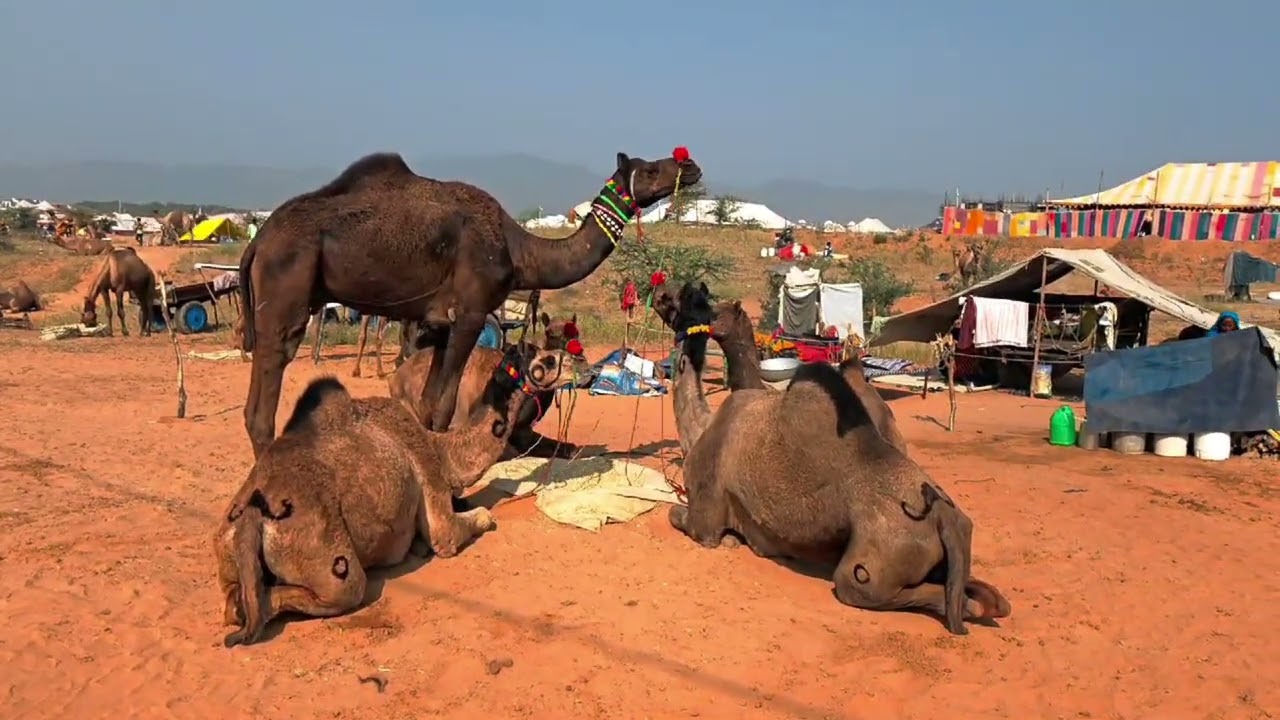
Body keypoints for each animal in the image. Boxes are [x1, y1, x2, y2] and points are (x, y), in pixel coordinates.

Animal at [214, 346, 569, 647]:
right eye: (545, 358)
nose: (573, 361)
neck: (442, 449)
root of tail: (250, 517)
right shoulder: (431, 481)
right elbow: (464, 525)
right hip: (331, 564)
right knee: (337, 589)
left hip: (228, 551)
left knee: (234, 601)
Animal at [660, 282, 1009, 634]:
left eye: (687, 300)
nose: (661, 294)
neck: (701, 428)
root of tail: (945, 516)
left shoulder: (705, 520)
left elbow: (678, 516)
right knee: (977, 593)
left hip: (873, 563)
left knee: (862, 585)